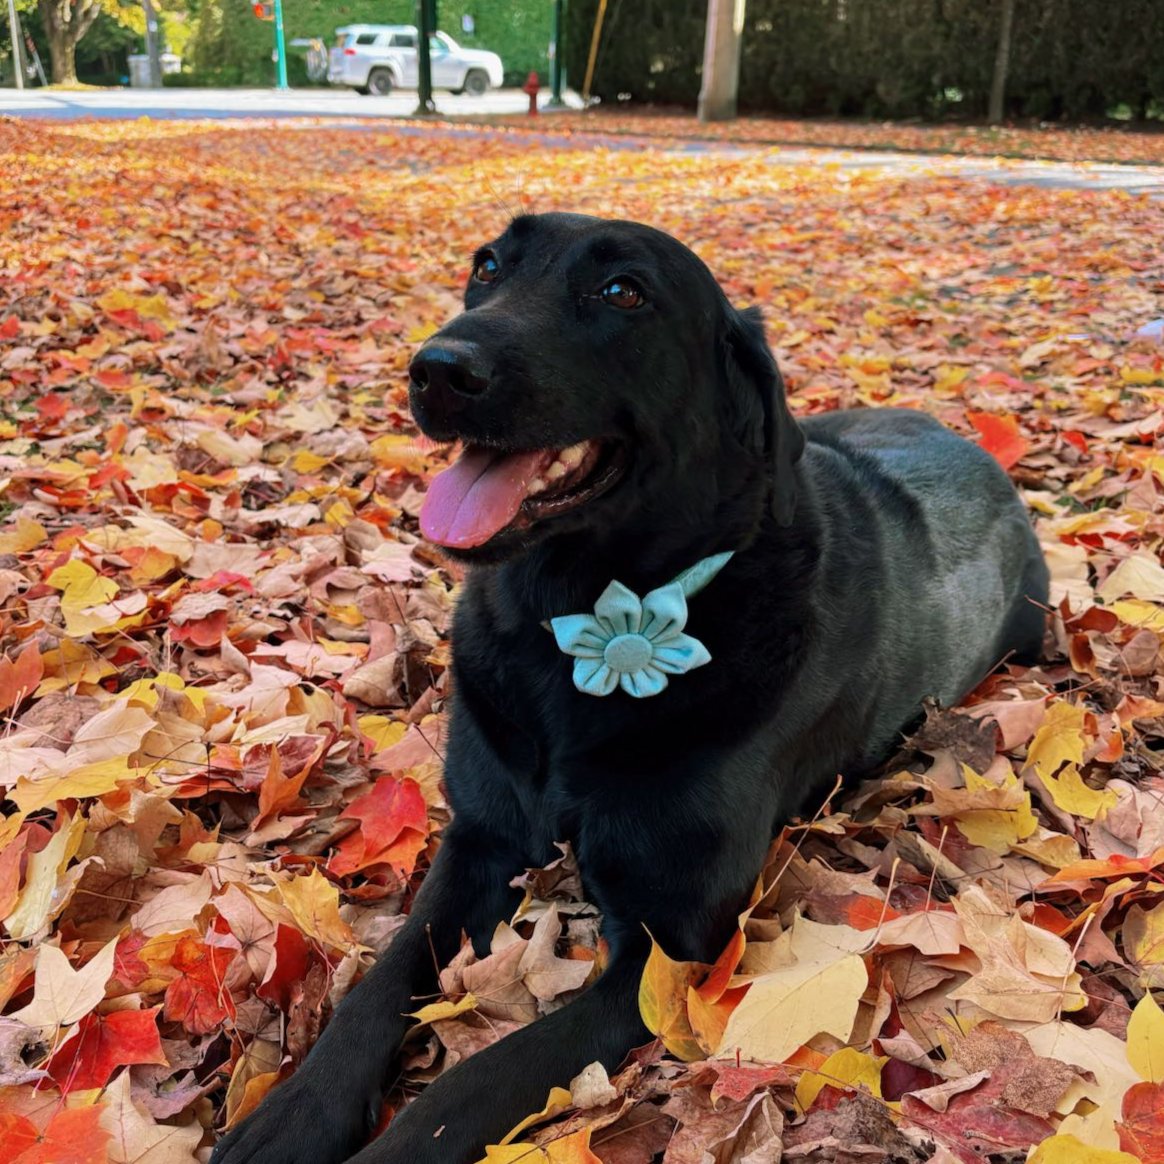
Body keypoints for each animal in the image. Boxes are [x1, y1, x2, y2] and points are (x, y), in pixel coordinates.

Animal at [214, 214, 1052, 1164]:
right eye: (488, 266)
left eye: (623, 292)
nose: (437, 369)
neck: (573, 623)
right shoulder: (478, 842)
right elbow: (385, 976)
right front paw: (296, 1109)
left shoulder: (666, 954)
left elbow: (470, 1087)